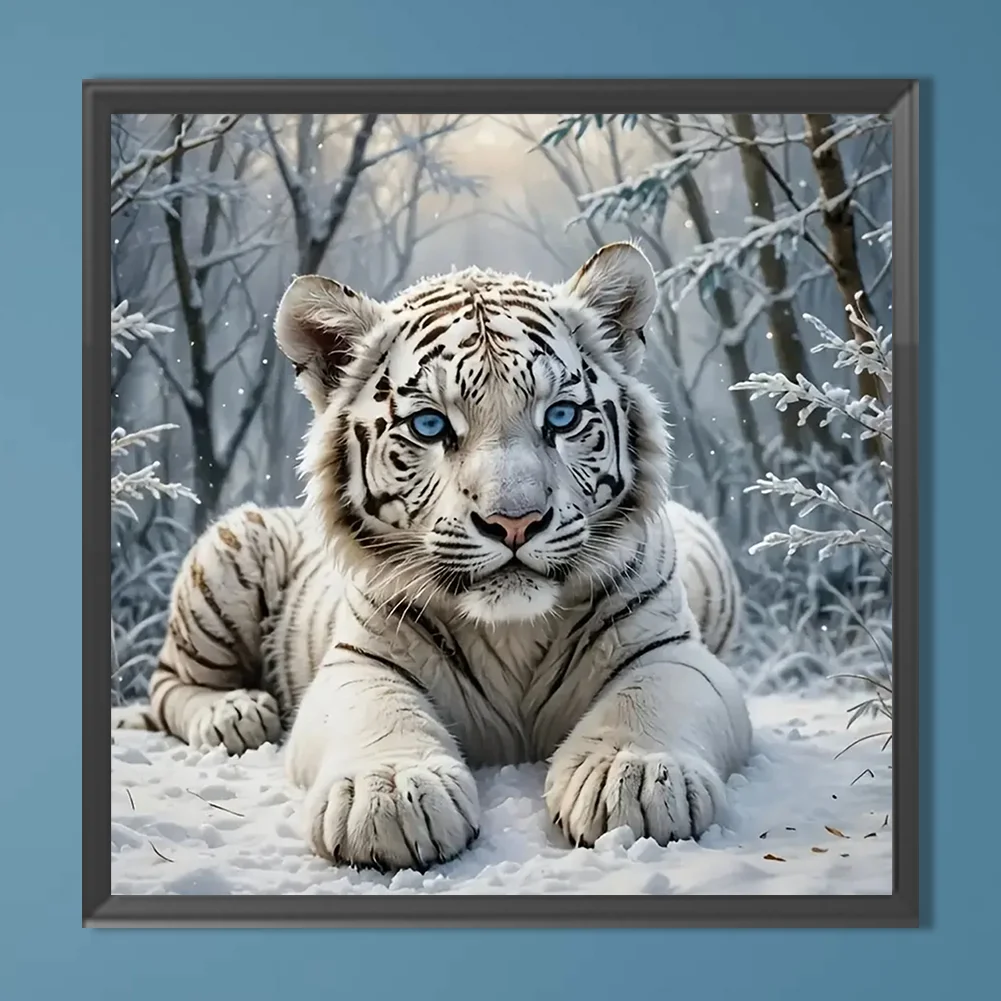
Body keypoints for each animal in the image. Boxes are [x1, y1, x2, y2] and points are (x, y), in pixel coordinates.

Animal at [118, 242, 752, 872]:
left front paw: (632, 775)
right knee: (168, 683)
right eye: (430, 425)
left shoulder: (670, 650)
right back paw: (236, 714)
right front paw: (390, 793)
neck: (512, 630)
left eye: (561, 417)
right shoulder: (359, 661)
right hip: (230, 551)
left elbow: (648, 700)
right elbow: (378, 712)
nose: (515, 521)